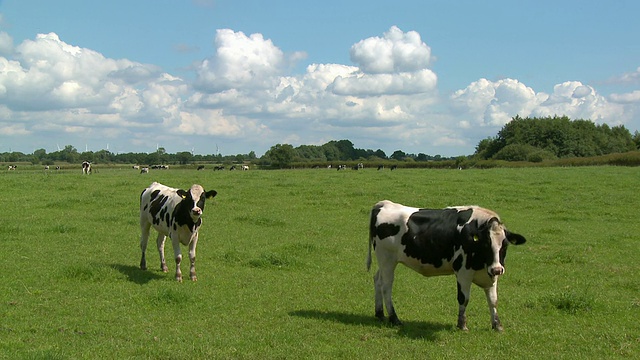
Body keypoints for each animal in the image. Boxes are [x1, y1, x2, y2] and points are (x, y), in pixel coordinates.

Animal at [368, 200, 528, 332]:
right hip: (387, 259)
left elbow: (493, 300)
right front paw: (462, 324)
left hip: (384, 261)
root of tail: (384, 204)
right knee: (386, 286)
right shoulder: (463, 272)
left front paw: (497, 325)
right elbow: (464, 298)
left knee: (377, 280)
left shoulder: (490, 274)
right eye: (485, 244)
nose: (497, 269)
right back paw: (394, 318)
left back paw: (380, 313)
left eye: (505, 245)